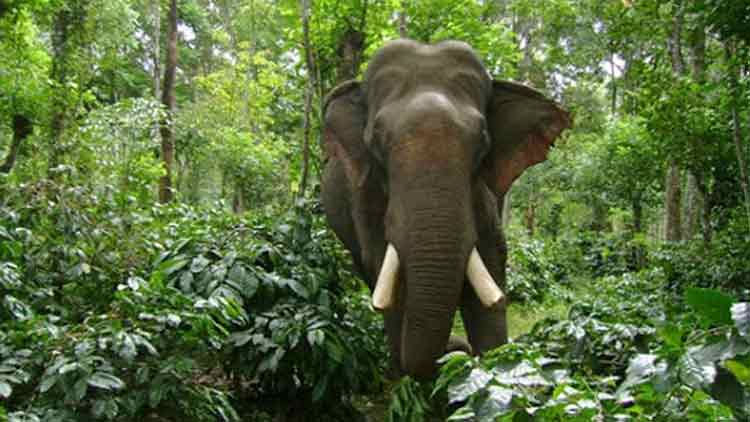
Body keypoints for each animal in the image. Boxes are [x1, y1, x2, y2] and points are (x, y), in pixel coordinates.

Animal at [321, 39, 571, 379]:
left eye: (482, 140)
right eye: (377, 140)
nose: (456, 350)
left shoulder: (481, 193)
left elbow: (491, 259)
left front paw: (495, 371)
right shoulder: (363, 191)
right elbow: (386, 268)